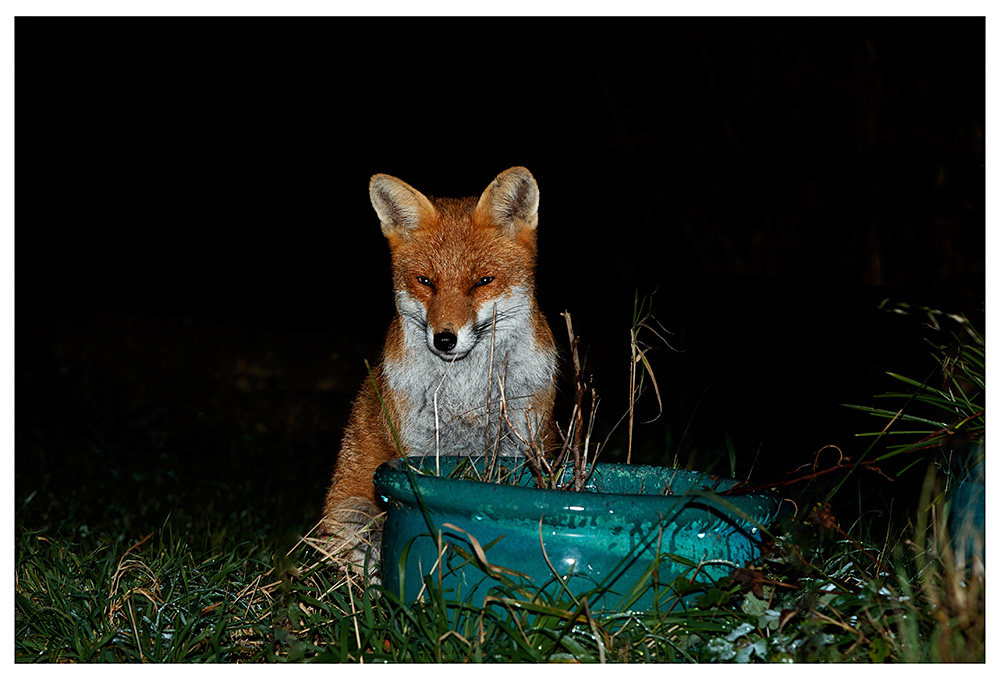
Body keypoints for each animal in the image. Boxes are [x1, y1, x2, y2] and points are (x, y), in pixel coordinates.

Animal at [320, 166, 558, 578]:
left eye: (482, 281)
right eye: (425, 282)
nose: (444, 339)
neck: (466, 396)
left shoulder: (521, 446)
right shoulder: (414, 450)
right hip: (351, 511)